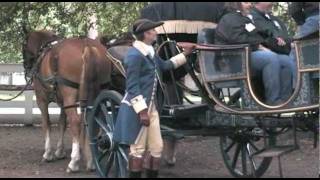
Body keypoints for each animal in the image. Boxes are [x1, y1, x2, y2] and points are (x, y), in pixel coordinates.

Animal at [22, 29, 113, 173]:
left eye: (24, 45)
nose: (26, 66)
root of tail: (87, 46)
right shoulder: (62, 102)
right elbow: (62, 123)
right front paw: (60, 151)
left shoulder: (42, 100)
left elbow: (47, 123)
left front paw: (48, 153)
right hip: (96, 93)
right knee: (93, 121)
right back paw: (91, 161)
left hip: (69, 96)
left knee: (75, 122)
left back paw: (74, 162)